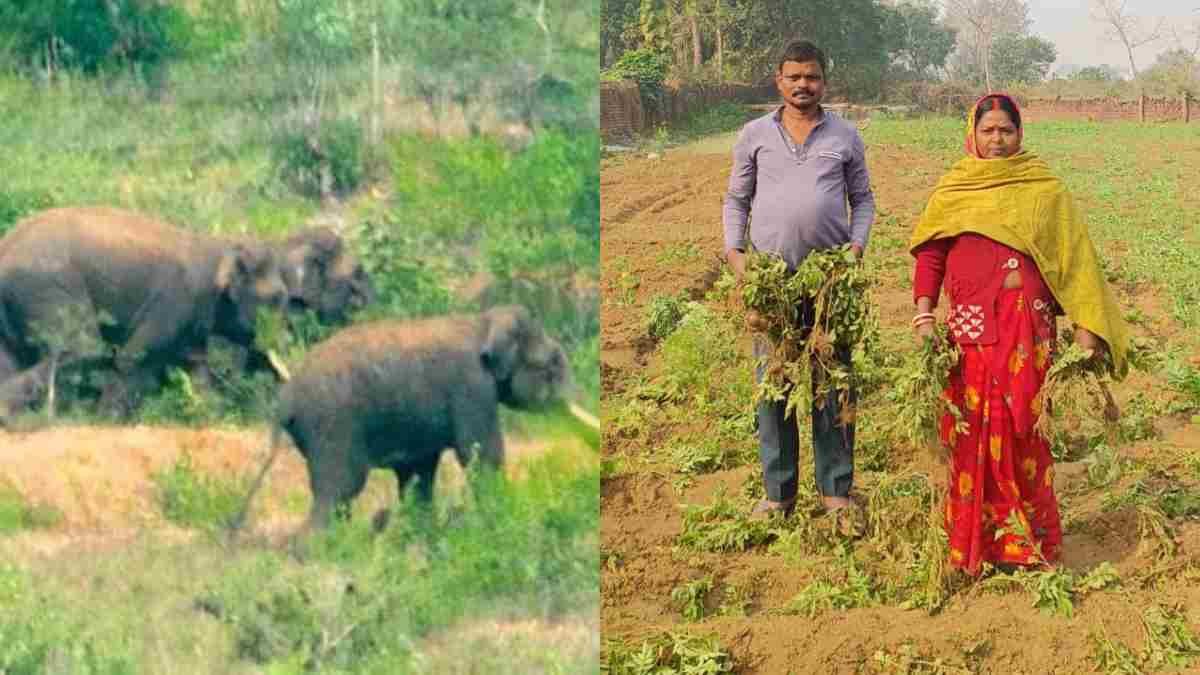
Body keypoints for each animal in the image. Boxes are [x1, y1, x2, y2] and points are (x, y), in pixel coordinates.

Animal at [0, 206, 290, 421]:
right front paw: (105, 421)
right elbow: (133, 356)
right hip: (47, 286)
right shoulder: (175, 300)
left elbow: (195, 365)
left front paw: (211, 418)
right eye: (276, 298)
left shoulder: (191, 321)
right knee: (83, 347)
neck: (219, 245)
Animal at [264, 305, 575, 528]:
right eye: (553, 363)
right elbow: (481, 454)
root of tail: (286, 397)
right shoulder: (471, 388)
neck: (483, 321)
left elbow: (418, 472)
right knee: (340, 489)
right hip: (332, 425)